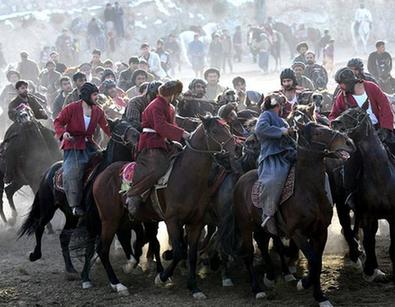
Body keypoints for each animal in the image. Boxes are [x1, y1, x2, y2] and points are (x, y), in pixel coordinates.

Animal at [18, 119, 142, 288]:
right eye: (118, 128)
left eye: (132, 124)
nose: (137, 136)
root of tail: (47, 172)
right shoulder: (95, 219)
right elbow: (91, 247)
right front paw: (88, 278)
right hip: (48, 209)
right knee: (39, 226)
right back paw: (34, 255)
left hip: (71, 216)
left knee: (63, 237)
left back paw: (70, 269)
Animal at [91, 115, 237, 298]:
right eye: (216, 131)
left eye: (228, 128)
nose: (237, 148)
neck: (187, 175)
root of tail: (102, 175)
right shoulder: (172, 220)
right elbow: (179, 251)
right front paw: (162, 277)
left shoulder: (195, 223)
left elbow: (191, 254)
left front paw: (194, 287)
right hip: (109, 219)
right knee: (103, 249)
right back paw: (117, 284)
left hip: (124, 219)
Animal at [223, 122, 356, 306]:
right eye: (318, 132)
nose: (349, 142)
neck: (309, 191)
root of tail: (242, 179)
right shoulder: (297, 233)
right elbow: (313, 260)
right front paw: (305, 284)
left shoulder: (321, 231)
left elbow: (318, 262)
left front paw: (319, 296)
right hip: (245, 226)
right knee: (249, 253)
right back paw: (257, 289)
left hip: (264, 227)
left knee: (263, 244)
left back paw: (272, 276)